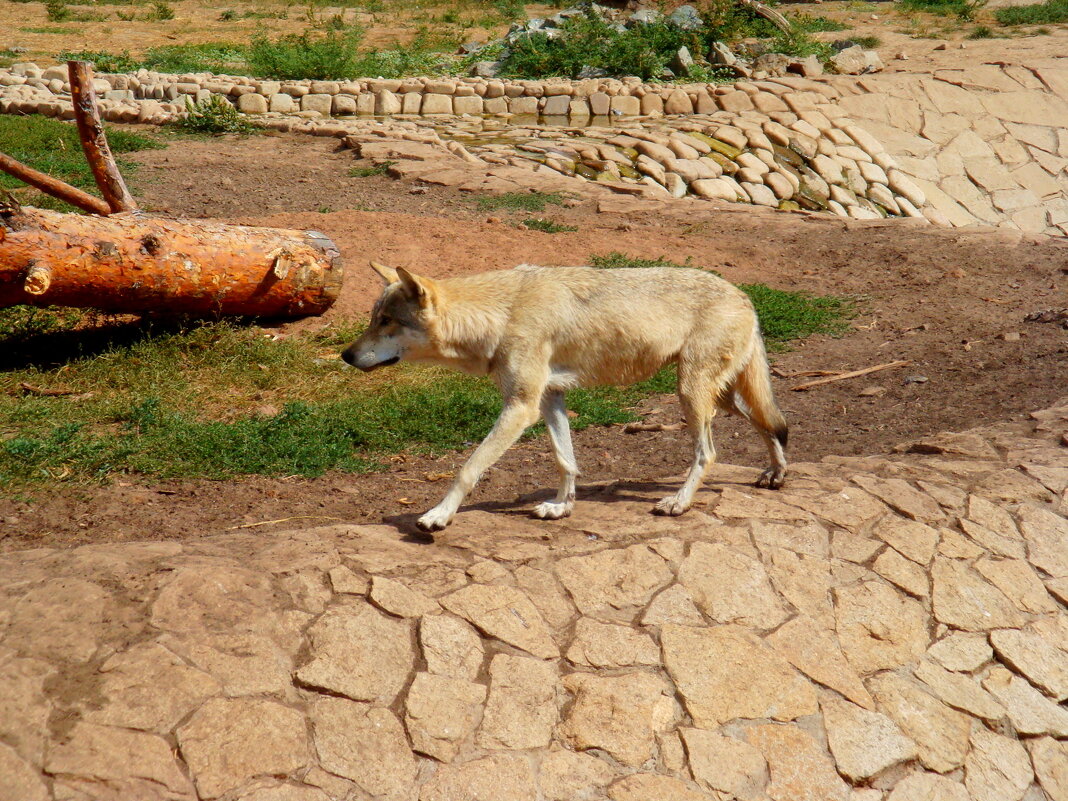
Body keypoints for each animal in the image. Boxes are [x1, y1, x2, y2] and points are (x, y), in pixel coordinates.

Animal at [339, 263, 786, 534]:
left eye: (386, 321)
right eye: (373, 319)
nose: (345, 355)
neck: (502, 315)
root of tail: (745, 296)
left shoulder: (521, 407)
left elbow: (467, 469)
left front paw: (438, 516)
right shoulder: (550, 398)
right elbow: (564, 460)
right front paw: (561, 507)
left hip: (691, 394)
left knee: (708, 452)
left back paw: (679, 502)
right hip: (720, 397)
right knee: (773, 424)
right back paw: (776, 474)